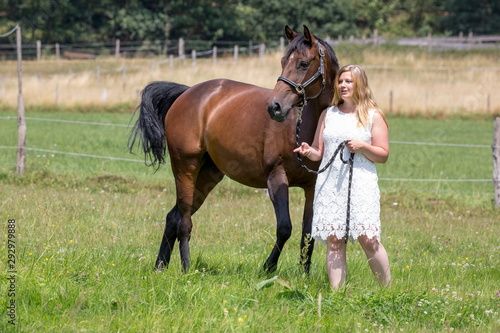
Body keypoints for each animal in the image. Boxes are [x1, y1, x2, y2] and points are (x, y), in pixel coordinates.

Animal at [129, 25, 340, 270]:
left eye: (303, 63)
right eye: (282, 61)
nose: (274, 107)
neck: (303, 126)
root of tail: (186, 93)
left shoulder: (312, 187)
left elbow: (308, 235)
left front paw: (303, 275)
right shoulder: (276, 177)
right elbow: (285, 228)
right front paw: (268, 268)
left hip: (209, 174)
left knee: (173, 217)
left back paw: (160, 267)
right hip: (185, 168)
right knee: (184, 221)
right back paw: (186, 267)